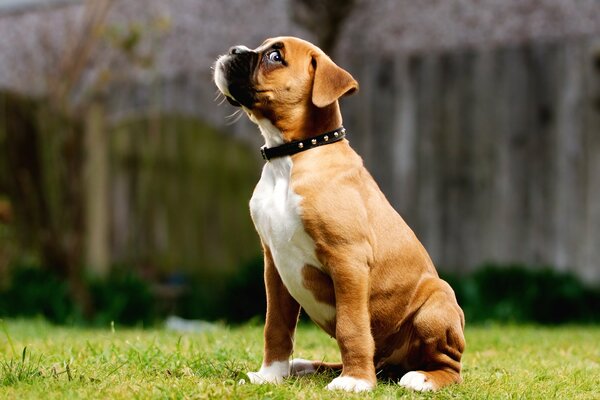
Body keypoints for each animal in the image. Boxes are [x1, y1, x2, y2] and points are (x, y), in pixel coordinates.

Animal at [213, 36, 466, 392]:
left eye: (275, 57)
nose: (234, 50)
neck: (291, 157)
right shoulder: (274, 265)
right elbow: (275, 326)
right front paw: (270, 375)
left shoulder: (348, 260)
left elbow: (351, 326)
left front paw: (355, 381)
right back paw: (307, 367)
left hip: (436, 304)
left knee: (450, 366)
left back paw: (422, 378)